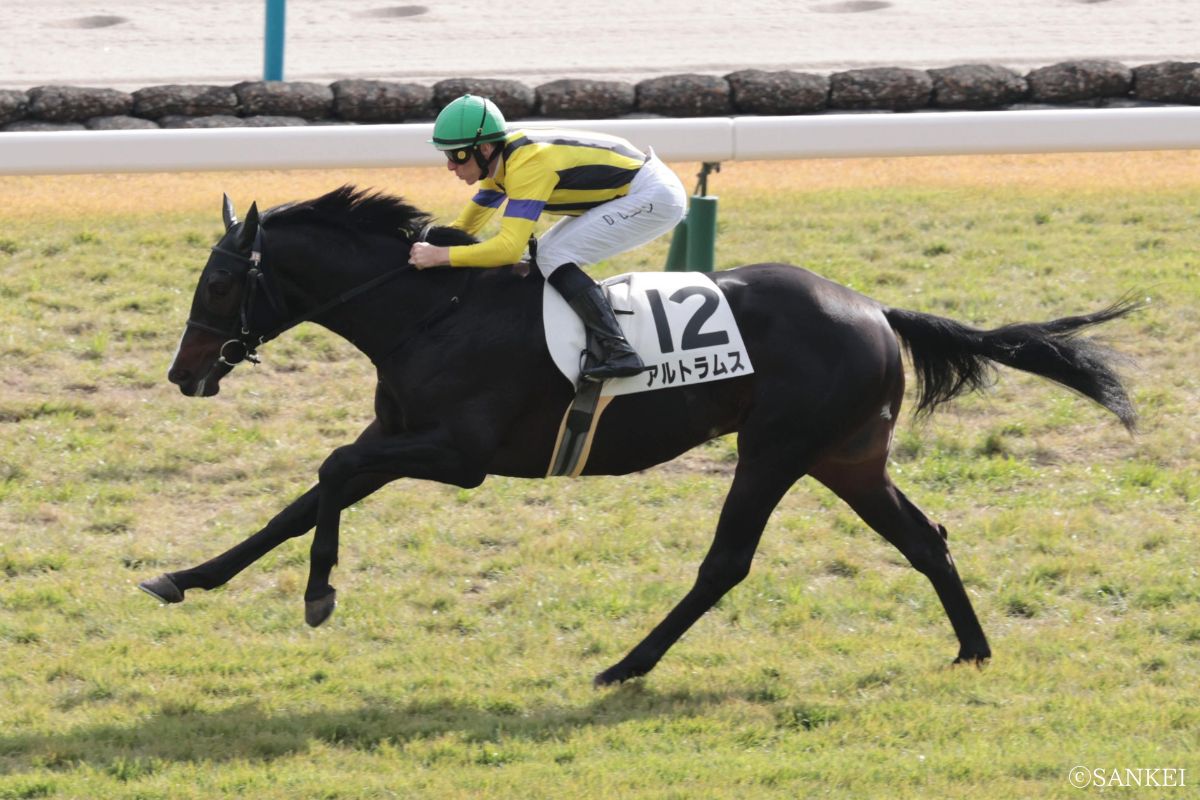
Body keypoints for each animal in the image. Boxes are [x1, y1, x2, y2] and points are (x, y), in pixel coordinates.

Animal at [142, 185, 1138, 686]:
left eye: (220, 284)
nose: (185, 373)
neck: (432, 308)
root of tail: (873, 308)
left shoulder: (459, 457)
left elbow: (333, 469)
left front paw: (318, 591)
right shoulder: (403, 434)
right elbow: (306, 497)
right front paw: (186, 576)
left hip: (775, 450)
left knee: (727, 562)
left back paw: (625, 665)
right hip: (846, 458)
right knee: (924, 537)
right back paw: (972, 649)